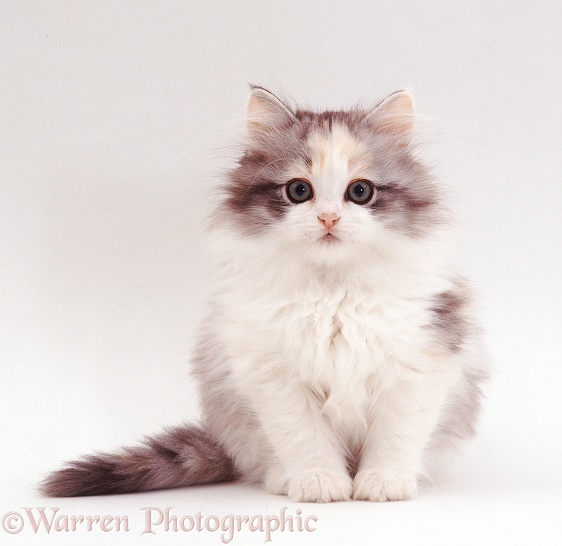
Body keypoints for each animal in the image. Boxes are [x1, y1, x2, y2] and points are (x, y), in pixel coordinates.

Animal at [41, 86, 486, 502]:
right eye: (299, 191)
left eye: (360, 192)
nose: (328, 218)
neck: (331, 292)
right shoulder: (273, 376)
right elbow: (304, 438)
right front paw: (320, 482)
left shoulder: (419, 363)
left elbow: (395, 436)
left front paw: (383, 483)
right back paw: (282, 478)